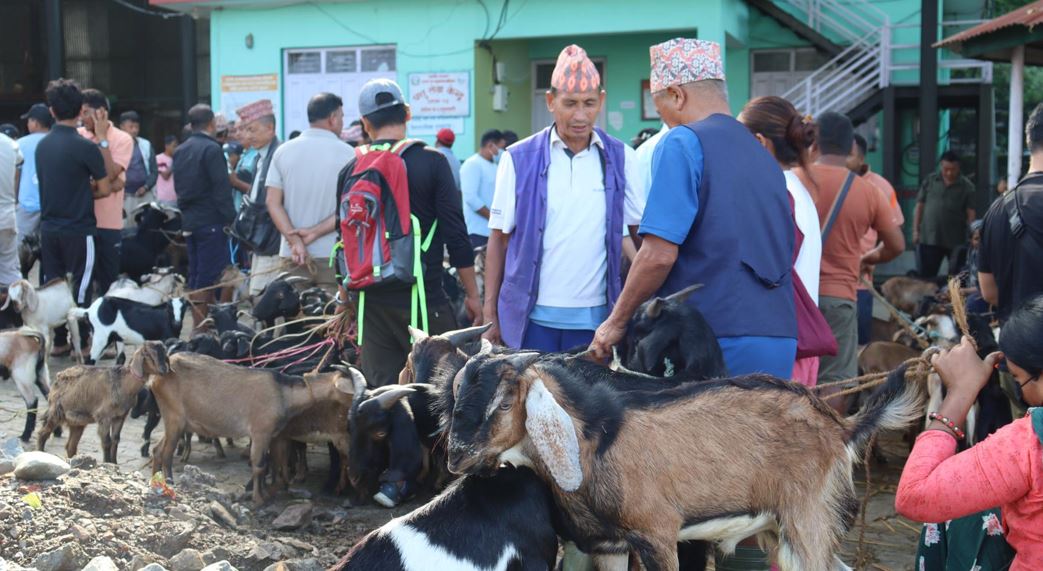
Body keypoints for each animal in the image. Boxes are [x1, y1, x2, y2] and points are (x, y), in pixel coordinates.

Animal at [38, 342, 168, 463]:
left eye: (164, 353)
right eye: (149, 354)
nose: (164, 370)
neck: (124, 383)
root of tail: (58, 377)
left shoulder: (120, 417)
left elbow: (115, 439)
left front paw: (114, 463)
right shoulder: (103, 417)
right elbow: (106, 442)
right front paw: (107, 462)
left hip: (77, 421)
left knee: (70, 446)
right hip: (56, 412)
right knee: (43, 433)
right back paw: (40, 453)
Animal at [149, 352, 356, 505]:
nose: (360, 408)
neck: (284, 393)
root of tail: (160, 375)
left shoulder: (274, 435)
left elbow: (270, 465)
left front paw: (265, 493)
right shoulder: (260, 431)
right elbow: (259, 465)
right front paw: (259, 499)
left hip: (177, 421)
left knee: (157, 450)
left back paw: (155, 483)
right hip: (174, 417)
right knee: (166, 454)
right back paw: (170, 485)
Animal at [444, 352, 926, 571]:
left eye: (505, 403)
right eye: (455, 394)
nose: (455, 454)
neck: (594, 440)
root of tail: (842, 426)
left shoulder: (657, 535)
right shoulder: (607, 544)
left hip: (808, 520)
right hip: (781, 528)